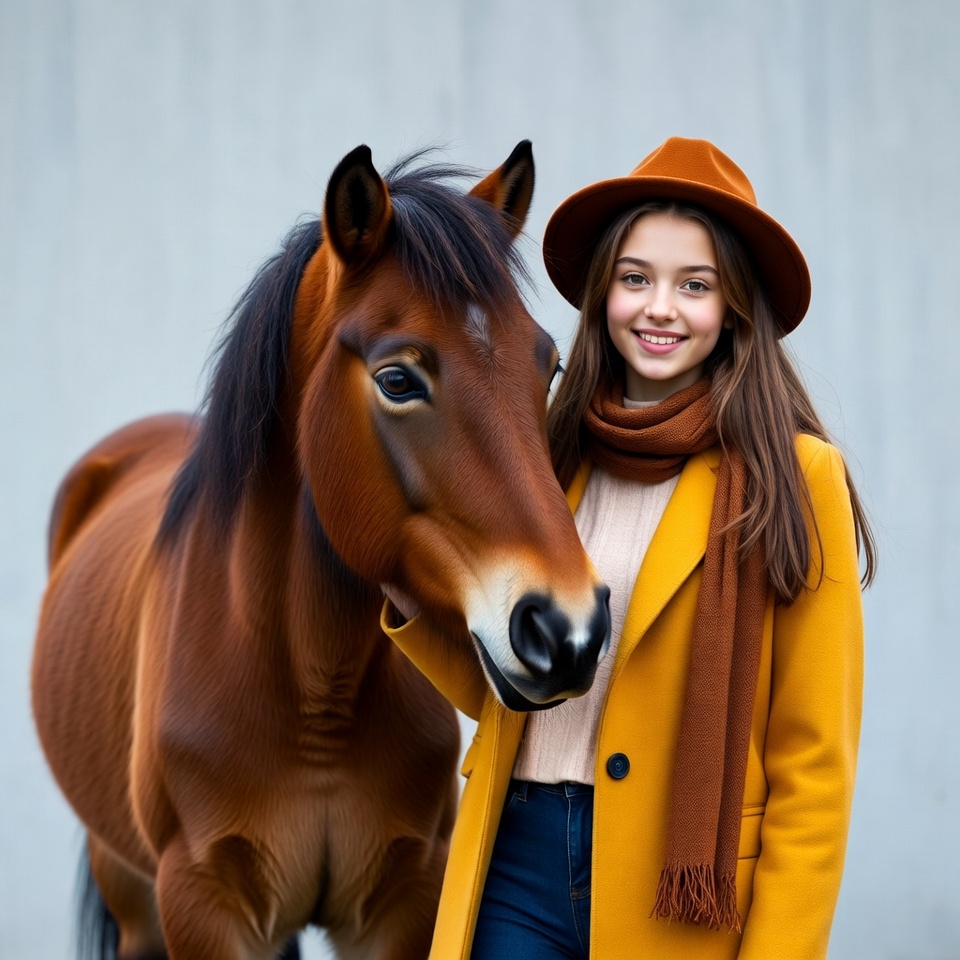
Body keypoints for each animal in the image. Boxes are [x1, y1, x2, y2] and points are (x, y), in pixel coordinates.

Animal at [31, 141, 611, 960]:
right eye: (397, 379)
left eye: (549, 364)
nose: (569, 630)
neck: (310, 695)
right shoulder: (204, 908)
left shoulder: (403, 901)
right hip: (134, 899)